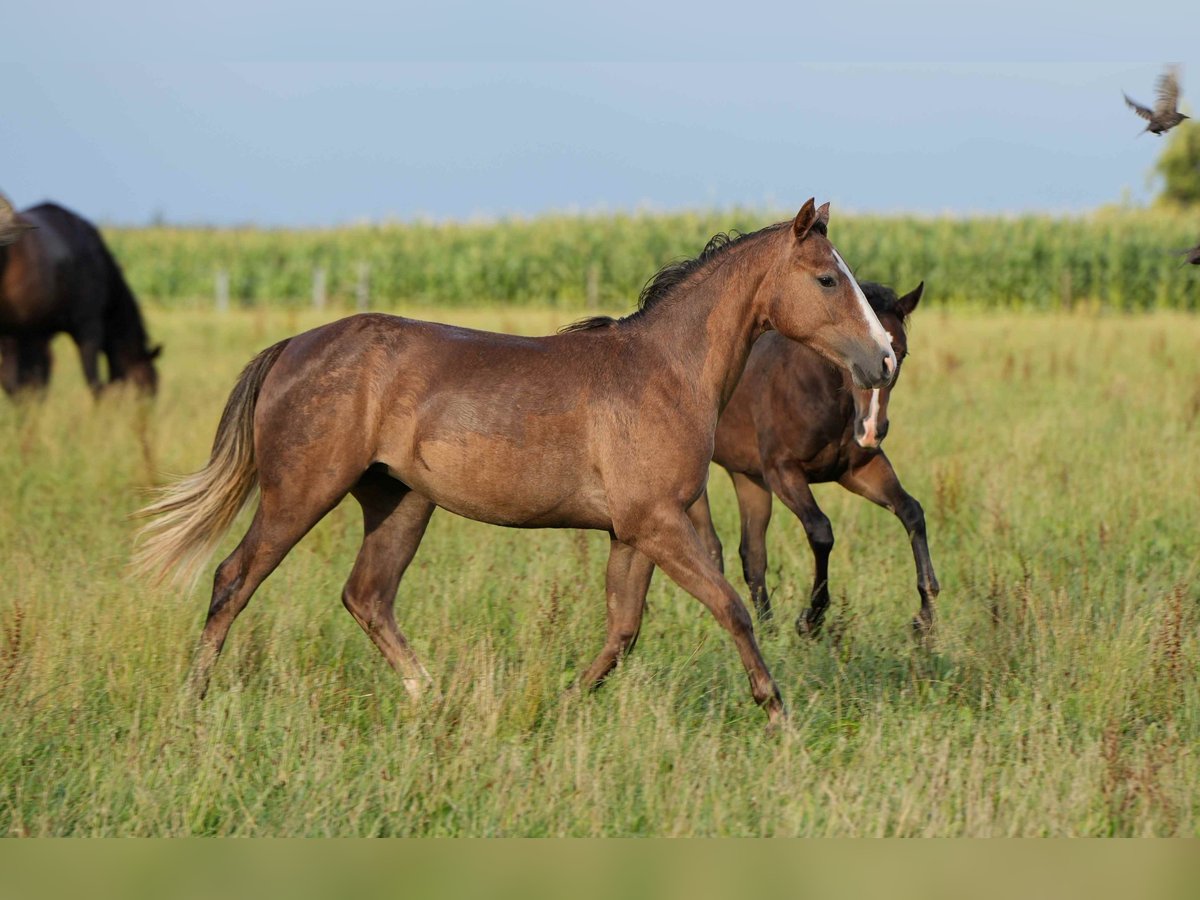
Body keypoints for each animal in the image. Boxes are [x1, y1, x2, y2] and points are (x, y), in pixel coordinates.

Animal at [0, 196, 159, 398]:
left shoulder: (36, 333)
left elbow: (32, 379)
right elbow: (94, 382)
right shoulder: (89, 327)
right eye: (148, 384)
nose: (149, 407)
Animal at [136, 200, 897, 729]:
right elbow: (732, 608)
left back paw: (433, 697)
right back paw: (193, 703)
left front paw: (559, 705)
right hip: (301, 493)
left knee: (366, 596)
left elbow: (623, 630)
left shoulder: (635, 532)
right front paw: (779, 715)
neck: (666, 372)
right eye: (827, 279)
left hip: (400, 501)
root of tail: (291, 347)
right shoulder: (657, 524)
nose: (885, 358)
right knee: (234, 579)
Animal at [686, 278, 936, 638]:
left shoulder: (860, 469)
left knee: (752, 554)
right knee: (711, 546)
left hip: (748, 478)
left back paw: (767, 629)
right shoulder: (783, 471)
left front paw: (924, 616)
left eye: (900, 353)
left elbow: (912, 512)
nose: (872, 430)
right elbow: (821, 531)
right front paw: (811, 619)